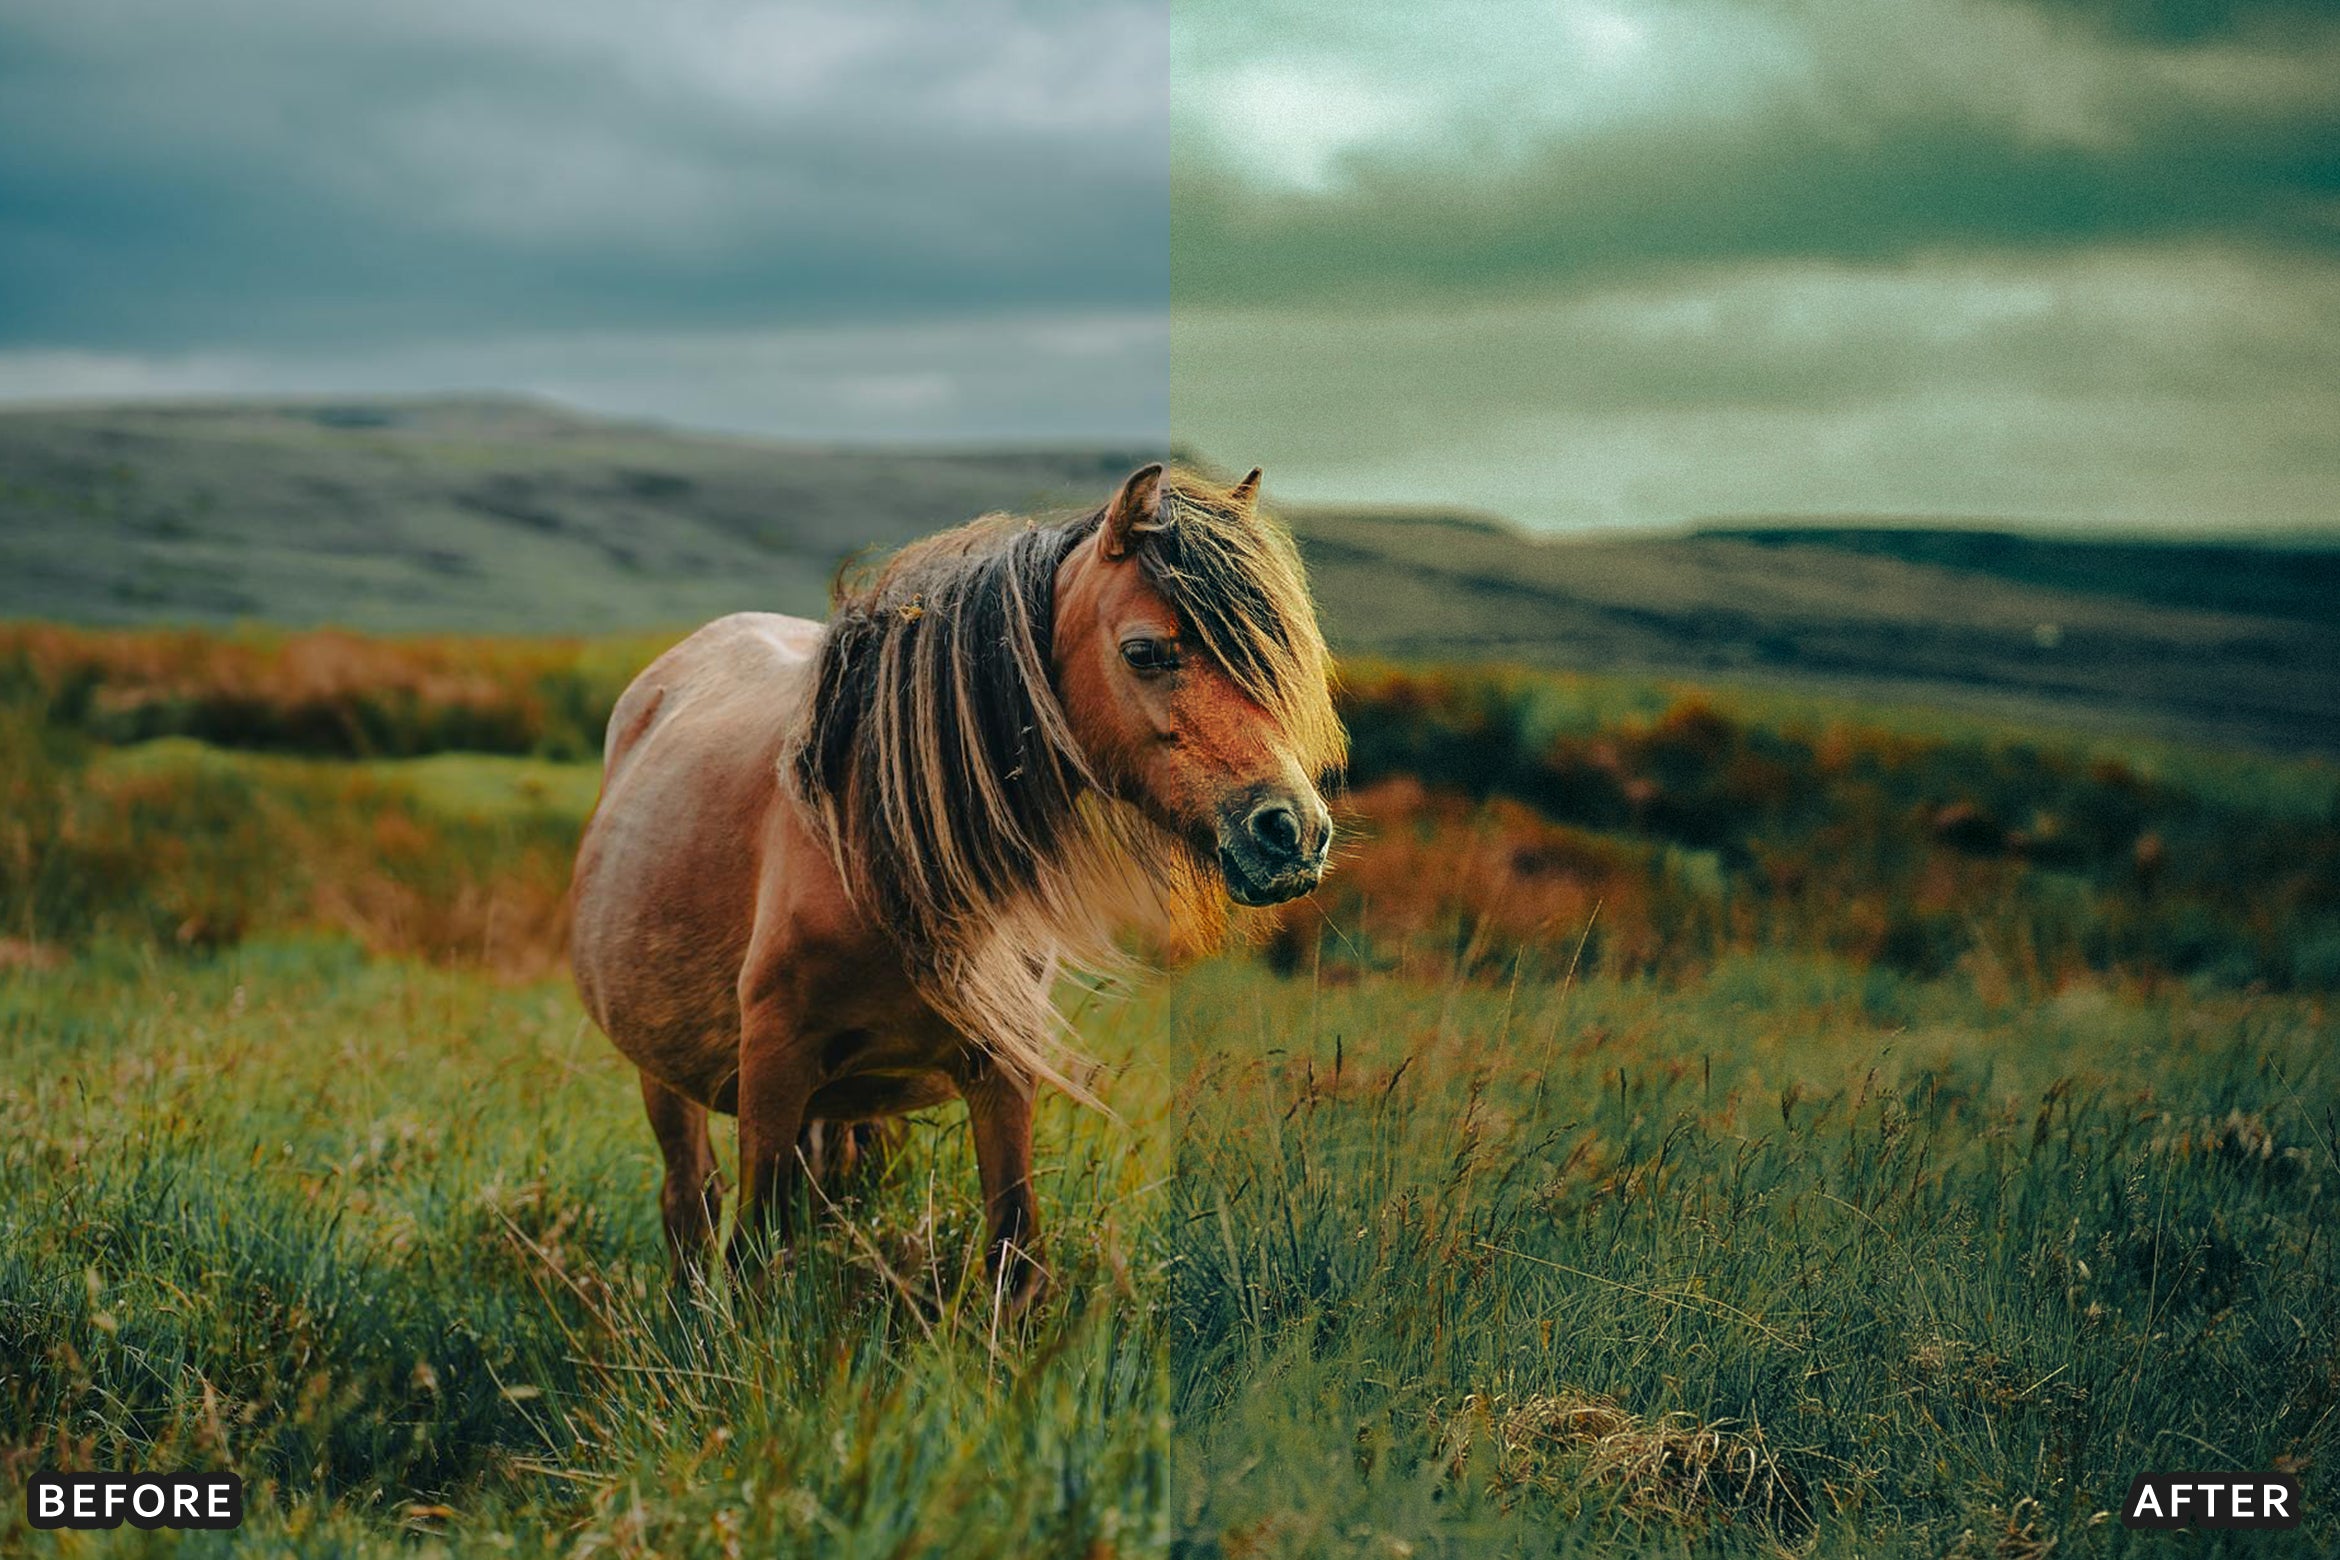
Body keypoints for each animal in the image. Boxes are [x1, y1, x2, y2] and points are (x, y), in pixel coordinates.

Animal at [568, 464, 1345, 1308]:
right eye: (1145, 651)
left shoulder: (1001, 1069)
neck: (880, 855)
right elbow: (755, 1261)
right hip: (666, 1075)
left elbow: (1014, 1252)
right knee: (691, 1205)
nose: (1293, 833)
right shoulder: (771, 1070)